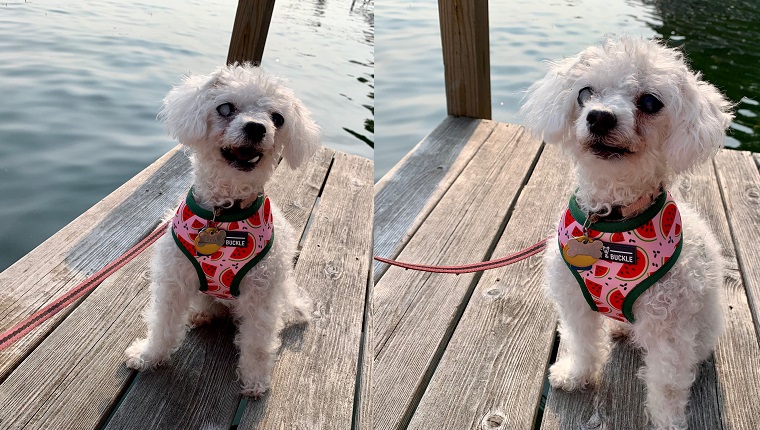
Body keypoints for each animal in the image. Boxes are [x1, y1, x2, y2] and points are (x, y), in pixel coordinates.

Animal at [123, 63, 320, 396]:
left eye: (278, 118)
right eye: (225, 108)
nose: (256, 128)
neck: (225, 212)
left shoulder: (262, 296)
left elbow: (257, 344)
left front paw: (255, 380)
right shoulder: (174, 279)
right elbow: (163, 324)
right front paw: (148, 355)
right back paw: (201, 312)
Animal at [524, 37, 732, 430]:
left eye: (650, 102)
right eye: (584, 93)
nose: (599, 116)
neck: (611, 218)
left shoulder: (671, 327)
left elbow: (667, 382)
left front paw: (669, 421)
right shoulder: (574, 301)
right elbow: (581, 343)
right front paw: (574, 375)